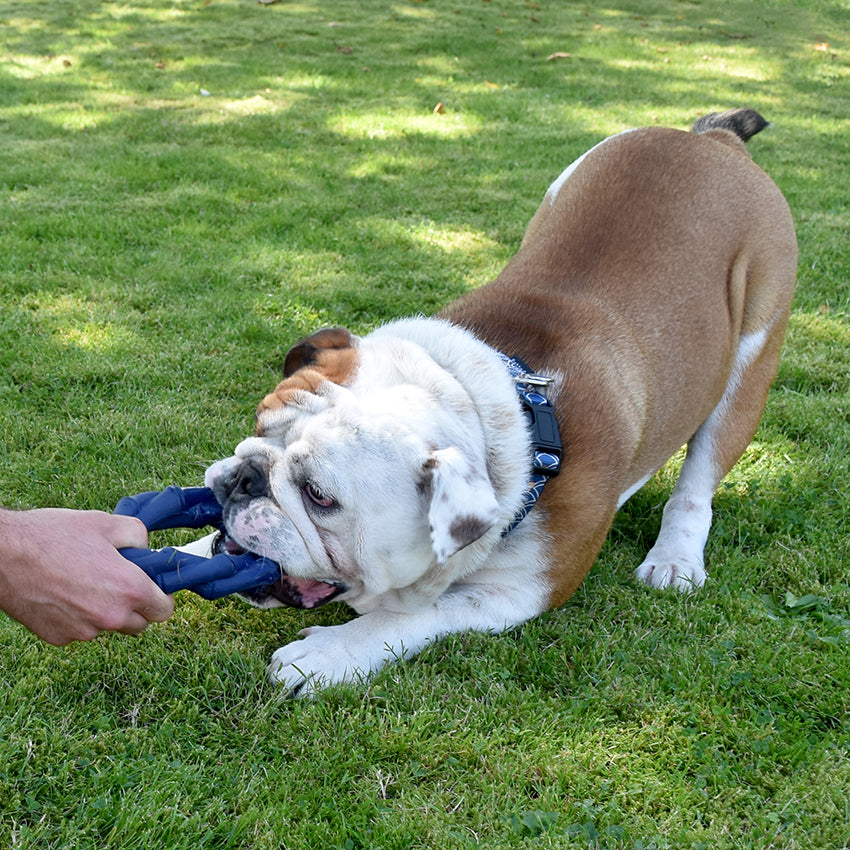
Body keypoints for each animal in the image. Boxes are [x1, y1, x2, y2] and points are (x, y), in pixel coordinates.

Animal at [194, 107, 796, 688]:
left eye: (320, 496)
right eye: (261, 424)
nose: (246, 478)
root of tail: (712, 141)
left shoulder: (524, 590)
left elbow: (413, 613)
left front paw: (327, 653)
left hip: (751, 362)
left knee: (697, 482)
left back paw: (675, 558)